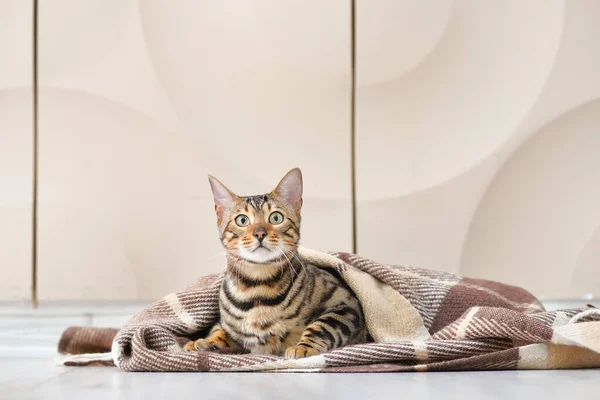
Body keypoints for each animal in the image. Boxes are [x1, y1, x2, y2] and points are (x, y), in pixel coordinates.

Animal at [182, 167, 366, 358]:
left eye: (276, 217)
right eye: (242, 220)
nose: (259, 233)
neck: (257, 287)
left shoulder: (345, 303)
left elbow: (321, 326)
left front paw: (303, 347)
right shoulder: (229, 326)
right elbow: (219, 330)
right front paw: (205, 342)